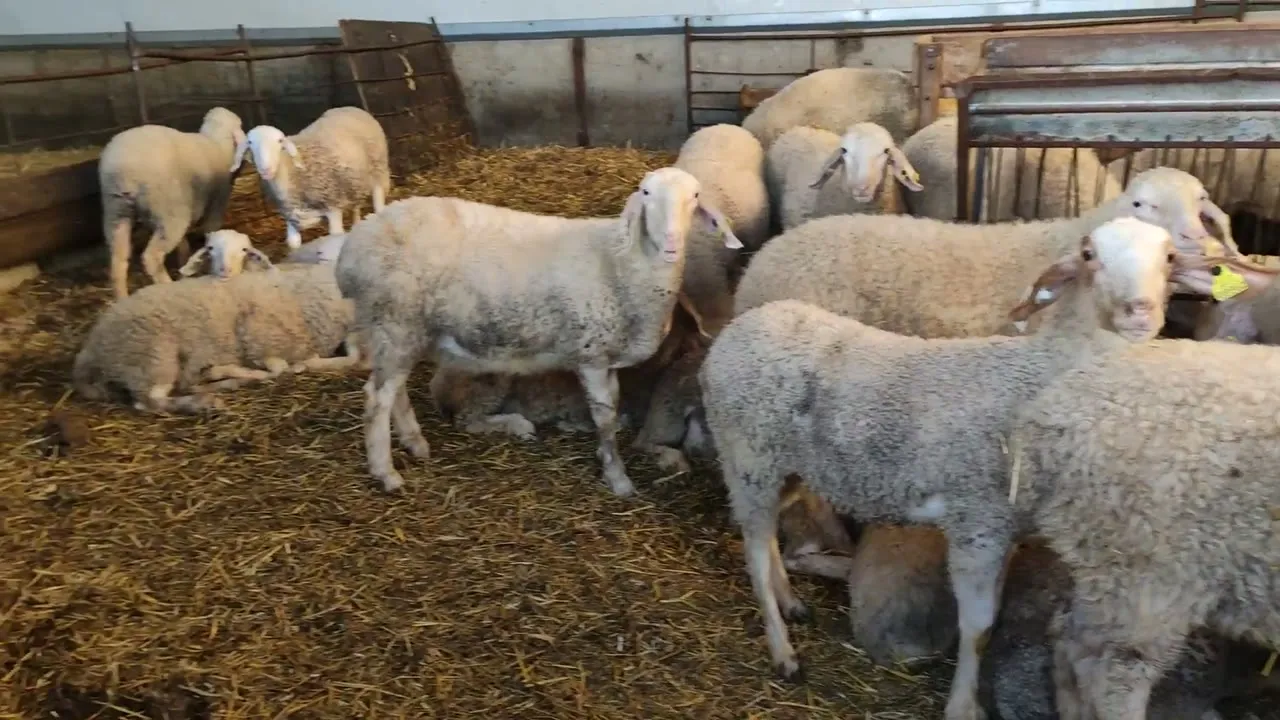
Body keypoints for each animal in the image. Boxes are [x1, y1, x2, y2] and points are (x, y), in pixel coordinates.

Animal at [71, 262, 361, 415]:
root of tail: (94, 345)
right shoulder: (260, 339)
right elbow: (279, 368)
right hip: (153, 355)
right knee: (149, 402)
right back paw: (204, 401)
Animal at [98, 106, 246, 300]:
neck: (218, 142)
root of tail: (123, 171)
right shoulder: (216, 205)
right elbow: (210, 235)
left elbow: (183, 245)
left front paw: (184, 264)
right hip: (169, 211)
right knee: (151, 257)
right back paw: (167, 286)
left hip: (117, 211)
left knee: (118, 260)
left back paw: (122, 298)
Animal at [232, 106, 391, 250]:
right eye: (250, 142)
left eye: (280, 141)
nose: (266, 170)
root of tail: (351, 107)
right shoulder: (291, 216)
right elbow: (294, 244)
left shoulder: (332, 206)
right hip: (354, 183)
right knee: (356, 207)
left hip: (378, 171)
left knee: (379, 205)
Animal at [333, 166, 743, 496]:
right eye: (645, 193)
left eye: (694, 196)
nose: (672, 243)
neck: (620, 262)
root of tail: (354, 248)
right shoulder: (591, 354)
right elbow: (605, 418)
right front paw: (618, 478)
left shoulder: (606, 357)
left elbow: (610, 412)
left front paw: (604, 457)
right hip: (395, 320)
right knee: (376, 399)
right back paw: (386, 473)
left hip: (400, 329)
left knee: (394, 392)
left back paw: (416, 444)